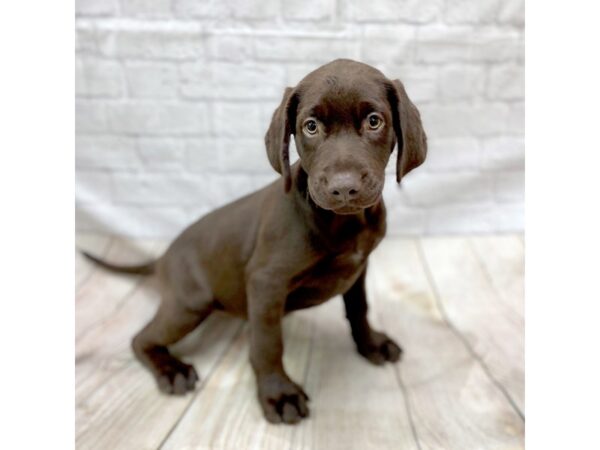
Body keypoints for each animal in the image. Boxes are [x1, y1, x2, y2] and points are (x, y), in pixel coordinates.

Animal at [83, 59, 426, 426]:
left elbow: (359, 307)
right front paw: (278, 393)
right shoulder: (266, 282)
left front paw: (370, 344)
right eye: (311, 127)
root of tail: (164, 257)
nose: (344, 188)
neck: (344, 222)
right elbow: (267, 342)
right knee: (141, 339)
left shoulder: (358, 267)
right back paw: (171, 370)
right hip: (190, 304)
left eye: (374, 121)